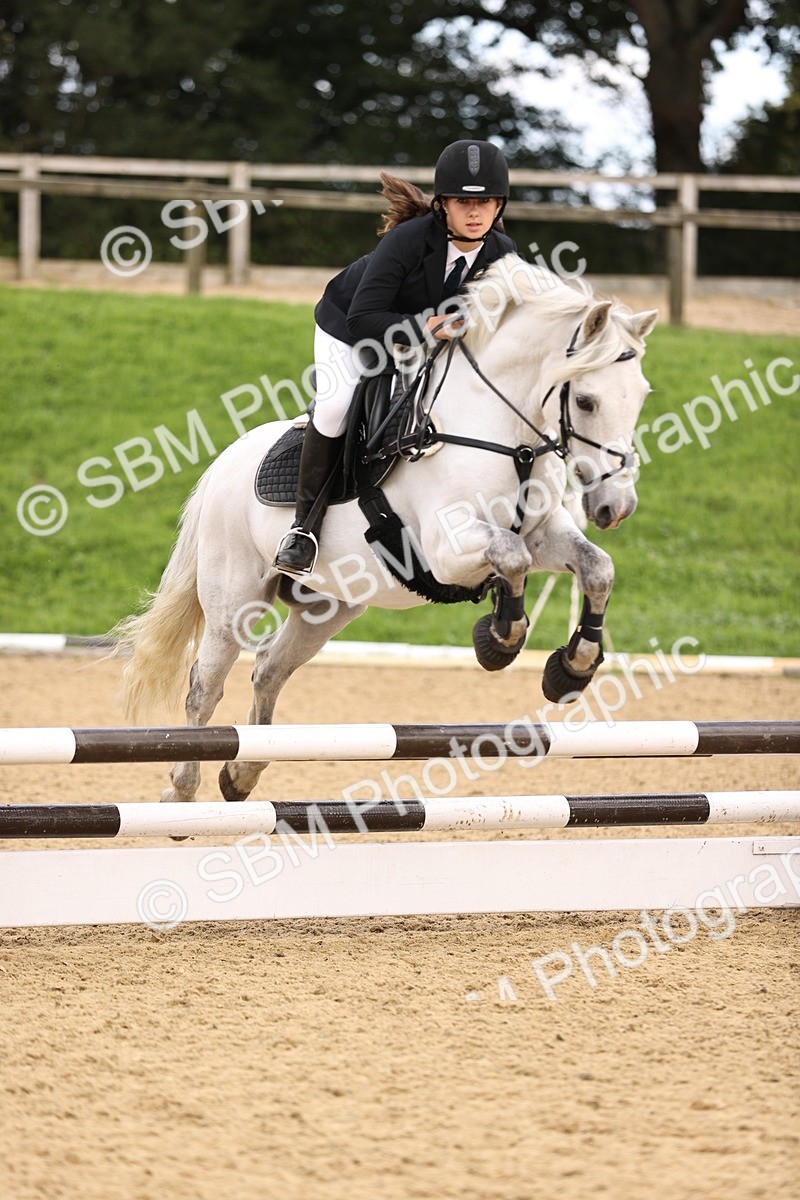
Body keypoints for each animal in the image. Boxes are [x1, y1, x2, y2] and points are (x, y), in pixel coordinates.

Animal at [116, 257, 657, 805]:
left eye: (641, 397)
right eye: (586, 401)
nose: (616, 507)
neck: (507, 437)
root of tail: (224, 463)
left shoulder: (543, 532)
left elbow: (596, 567)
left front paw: (573, 665)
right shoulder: (447, 548)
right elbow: (512, 558)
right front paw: (500, 639)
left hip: (329, 607)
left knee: (269, 669)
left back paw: (242, 774)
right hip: (234, 602)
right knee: (204, 686)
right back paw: (181, 793)